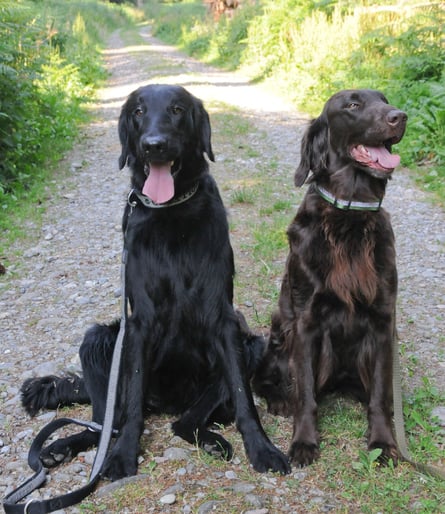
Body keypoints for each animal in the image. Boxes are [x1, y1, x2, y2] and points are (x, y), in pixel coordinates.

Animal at [21, 84, 290, 478]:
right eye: (138, 111)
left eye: (177, 109)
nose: (154, 144)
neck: (172, 212)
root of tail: (166, 403)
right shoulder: (139, 325)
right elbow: (131, 406)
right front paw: (122, 457)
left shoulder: (224, 320)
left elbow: (244, 400)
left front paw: (262, 448)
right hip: (98, 340)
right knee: (107, 423)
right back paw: (61, 448)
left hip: (250, 343)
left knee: (185, 421)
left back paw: (211, 439)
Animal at [253, 89, 407, 467]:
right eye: (352, 104)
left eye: (384, 99)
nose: (400, 116)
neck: (349, 216)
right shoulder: (306, 323)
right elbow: (306, 392)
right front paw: (304, 442)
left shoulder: (383, 322)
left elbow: (380, 396)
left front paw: (383, 442)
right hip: (278, 338)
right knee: (267, 382)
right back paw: (280, 400)